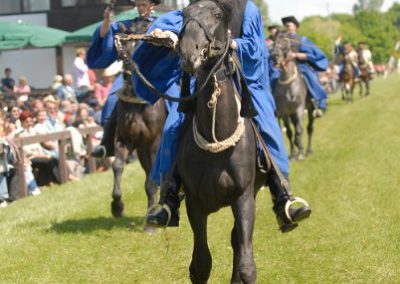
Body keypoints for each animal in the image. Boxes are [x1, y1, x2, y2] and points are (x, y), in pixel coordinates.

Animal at [177, 1, 262, 282]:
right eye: (184, 15)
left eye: (216, 15)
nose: (188, 51)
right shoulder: (194, 204)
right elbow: (201, 264)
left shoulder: (244, 198)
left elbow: (246, 265)